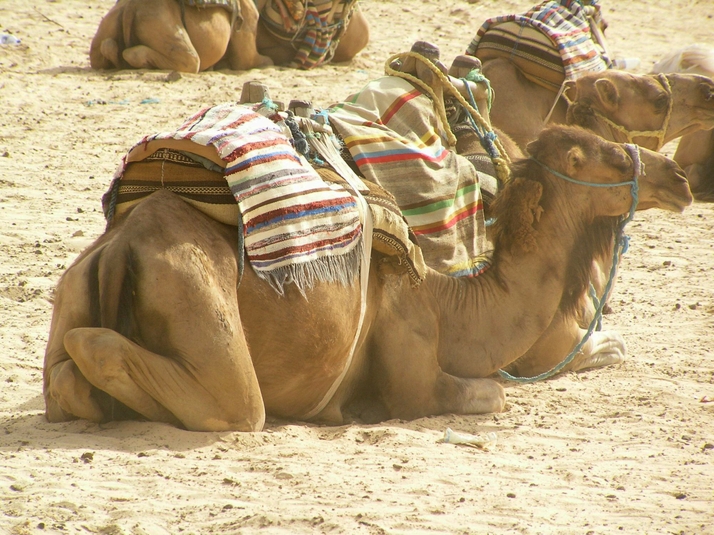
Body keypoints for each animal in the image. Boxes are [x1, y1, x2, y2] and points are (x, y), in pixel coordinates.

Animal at [43, 124, 692, 431]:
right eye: (610, 154)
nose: (680, 177)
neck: (446, 298)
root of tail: (124, 243)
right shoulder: (410, 348)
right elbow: (492, 392)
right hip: (198, 302)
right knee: (221, 401)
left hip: (74, 284)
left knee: (68, 375)